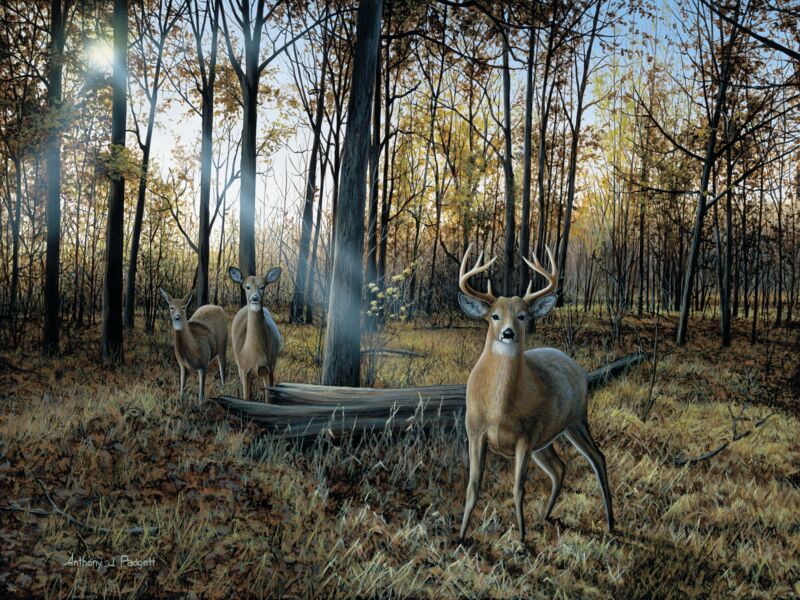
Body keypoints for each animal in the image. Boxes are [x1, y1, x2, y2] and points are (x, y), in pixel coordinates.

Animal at [228, 266, 283, 402]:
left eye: (262, 287)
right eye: (247, 287)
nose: (255, 298)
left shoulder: (268, 368)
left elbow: (268, 400)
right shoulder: (244, 369)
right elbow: (246, 397)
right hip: (239, 367)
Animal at [456, 243, 614, 542]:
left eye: (522, 316)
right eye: (494, 315)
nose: (507, 333)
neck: (499, 409)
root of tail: (573, 363)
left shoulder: (526, 437)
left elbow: (519, 489)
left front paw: (521, 538)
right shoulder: (475, 431)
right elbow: (472, 487)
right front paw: (460, 535)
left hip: (576, 419)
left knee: (597, 457)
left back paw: (611, 523)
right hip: (547, 438)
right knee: (560, 467)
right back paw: (546, 516)